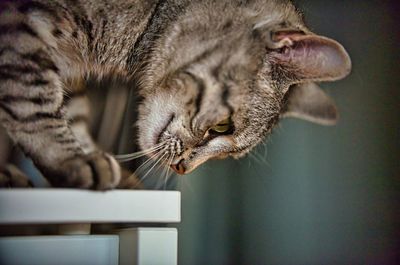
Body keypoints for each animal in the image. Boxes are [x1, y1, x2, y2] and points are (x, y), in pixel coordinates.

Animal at [0, 1, 350, 189]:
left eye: (230, 155)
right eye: (221, 127)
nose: (182, 168)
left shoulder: (68, 75)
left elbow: (73, 113)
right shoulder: (24, 28)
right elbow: (35, 102)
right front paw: (72, 159)